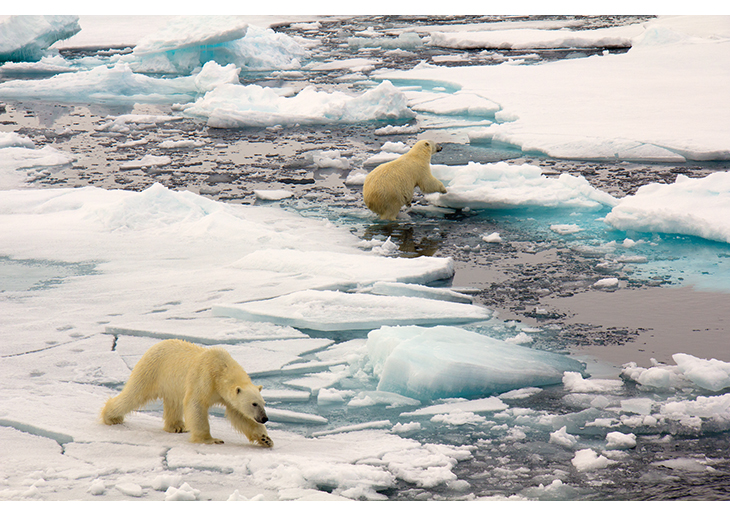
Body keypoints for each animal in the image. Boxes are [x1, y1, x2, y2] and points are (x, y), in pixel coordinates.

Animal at [100, 338, 272, 448]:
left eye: (263, 403)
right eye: (254, 403)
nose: (264, 418)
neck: (221, 370)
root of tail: (155, 345)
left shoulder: (226, 395)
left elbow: (240, 415)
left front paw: (265, 439)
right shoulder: (204, 377)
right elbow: (196, 404)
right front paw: (211, 440)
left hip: (170, 383)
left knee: (174, 403)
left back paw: (177, 427)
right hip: (152, 369)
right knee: (134, 394)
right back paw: (111, 417)